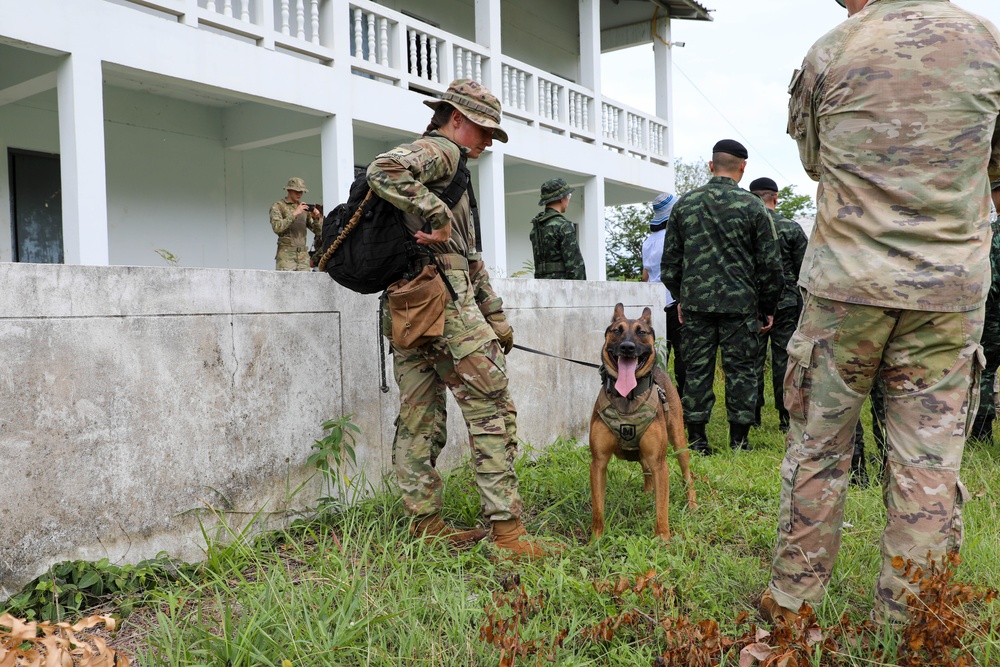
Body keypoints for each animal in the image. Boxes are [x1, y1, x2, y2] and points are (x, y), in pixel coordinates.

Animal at [584, 302, 696, 544]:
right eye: (617, 330)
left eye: (642, 332)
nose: (627, 347)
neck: (628, 396)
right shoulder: (598, 462)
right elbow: (598, 509)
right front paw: (595, 540)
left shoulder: (659, 462)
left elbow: (662, 507)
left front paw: (662, 538)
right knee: (645, 470)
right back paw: (646, 494)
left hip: (679, 442)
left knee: (687, 475)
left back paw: (692, 504)